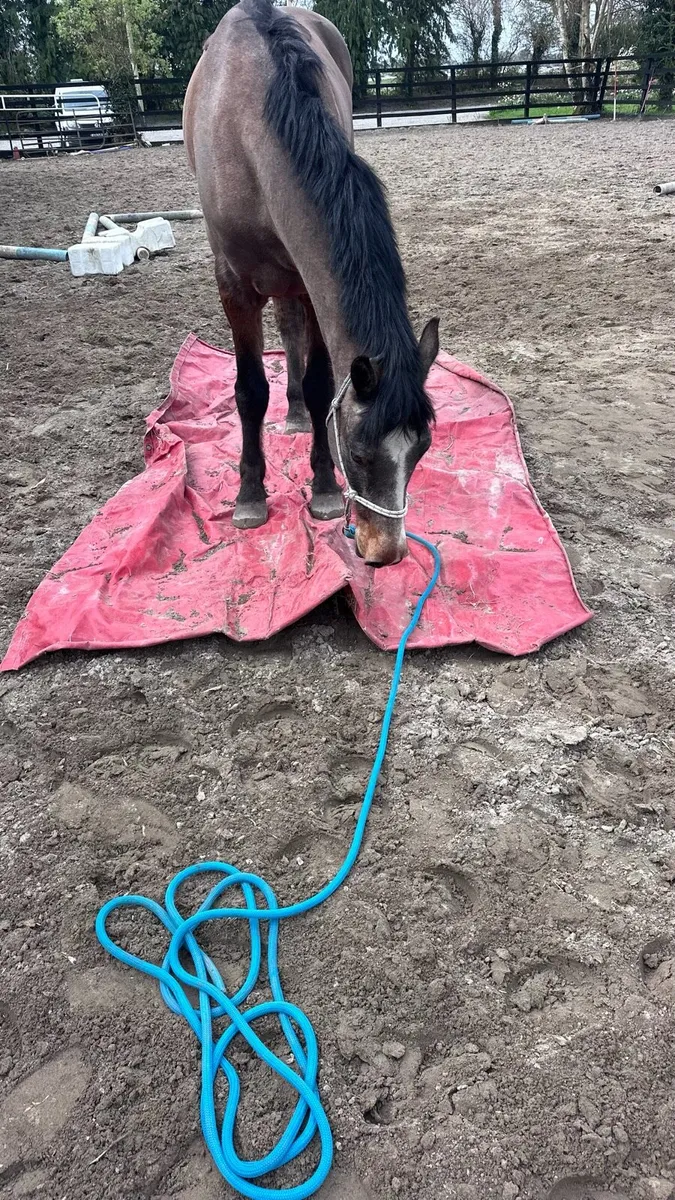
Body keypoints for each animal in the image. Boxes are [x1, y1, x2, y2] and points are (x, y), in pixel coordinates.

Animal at [183, 0, 439, 566]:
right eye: (359, 453)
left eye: (422, 450)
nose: (386, 552)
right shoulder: (234, 289)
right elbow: (249, 391)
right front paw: (250, 496)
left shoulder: (307, 282)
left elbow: (324, 385)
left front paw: (321, 488)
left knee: (291, 330)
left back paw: (299, 409)